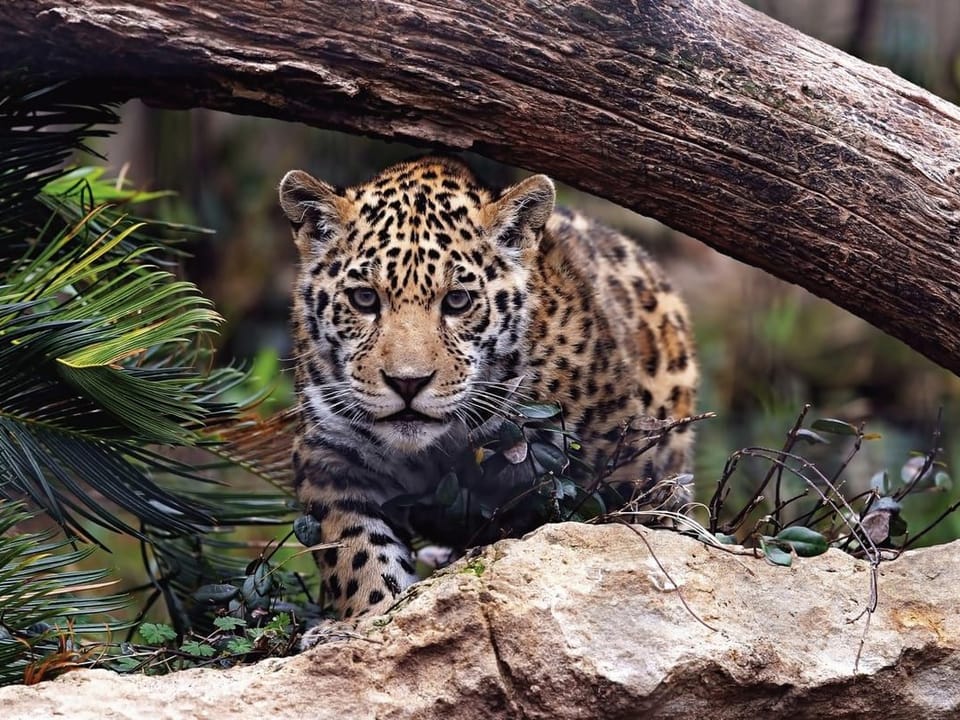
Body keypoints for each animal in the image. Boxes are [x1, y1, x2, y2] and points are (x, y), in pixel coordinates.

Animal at [279, 156, 697, 622]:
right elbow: (356, 550)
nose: (407, 382)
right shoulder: (330, 456)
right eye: (364, 299)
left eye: (458, 301)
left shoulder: (613, 469)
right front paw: (372, 614)